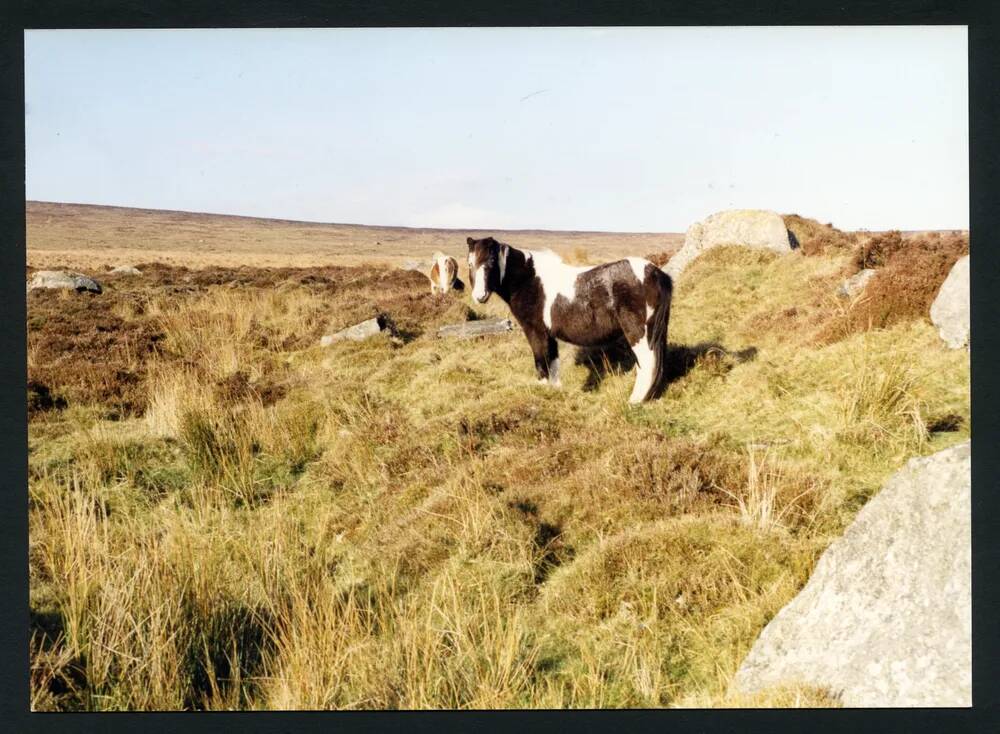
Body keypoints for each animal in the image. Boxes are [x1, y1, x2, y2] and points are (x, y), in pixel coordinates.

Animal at [466, 237, 672, 406]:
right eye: (469, 263)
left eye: (491, 261)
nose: (479, 296)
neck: (528, 279)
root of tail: (655, 272)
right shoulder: (549, 334)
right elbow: (553, 361)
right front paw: (555, 390)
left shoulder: (535, 331)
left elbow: (541, 360)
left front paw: (542, 391)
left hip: (638, 332)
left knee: (647, 362)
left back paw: (635, 401)